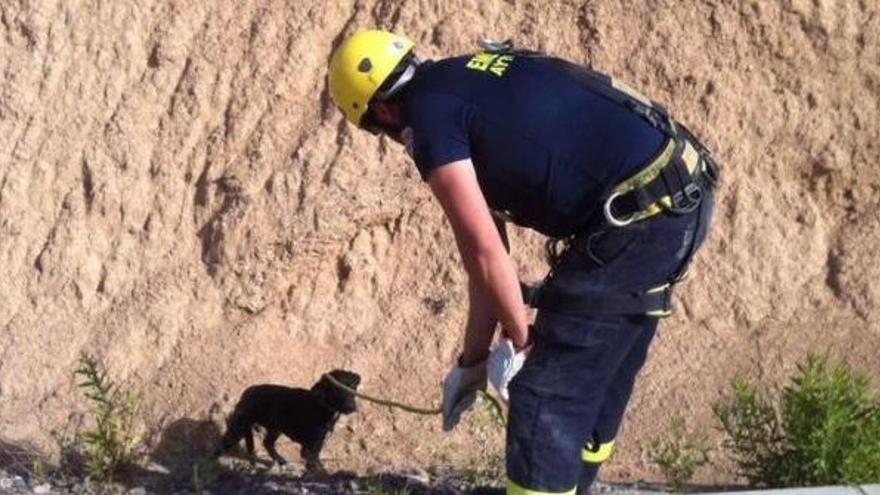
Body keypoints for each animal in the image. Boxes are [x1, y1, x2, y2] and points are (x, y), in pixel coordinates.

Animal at [215, 372, 360, 472]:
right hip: (240, 426)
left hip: (275, 428)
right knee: (225, 441)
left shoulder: (317, 444)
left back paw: (280, 461)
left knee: (267, 443)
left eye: (353, 388)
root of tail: (247, 392)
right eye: (337, 390)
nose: (352, 406)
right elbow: (315, 465)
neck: (321, 405)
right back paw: (215, 460)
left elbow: (315, 462)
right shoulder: (310, 447)